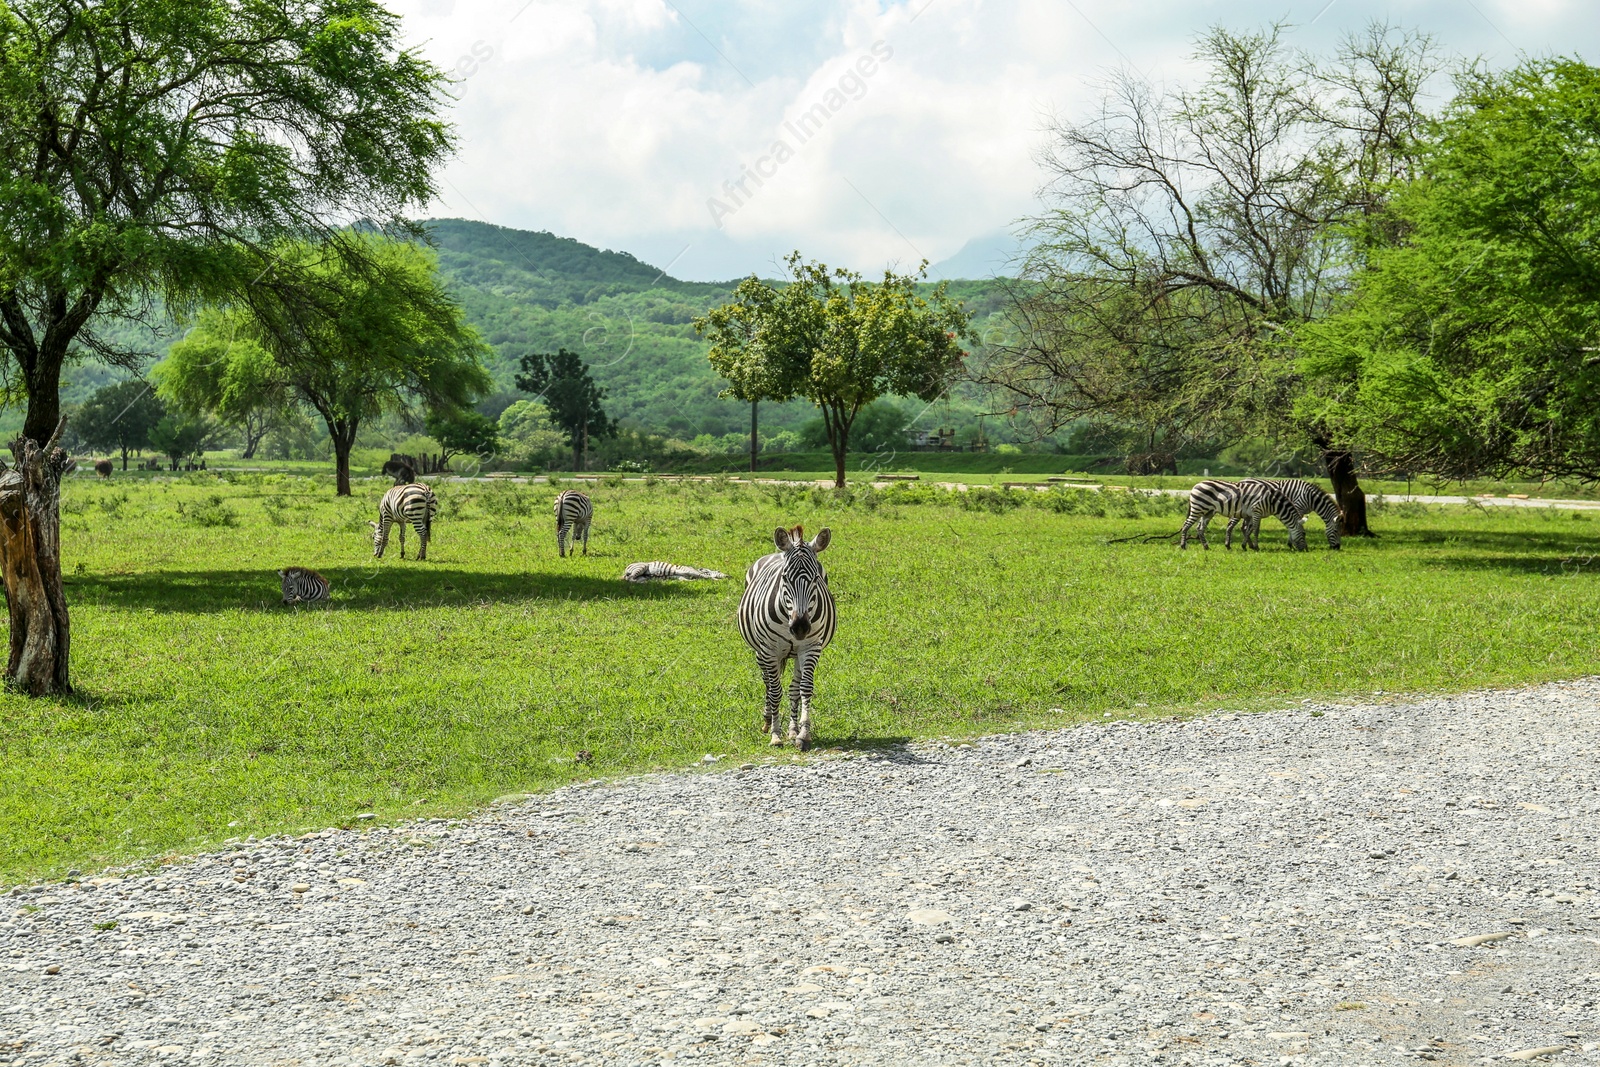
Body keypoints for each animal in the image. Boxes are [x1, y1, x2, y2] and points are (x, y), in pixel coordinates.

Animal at [736, 524, 838, 751]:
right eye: (785, 578)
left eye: (816, 578)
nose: (800, 628)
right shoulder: (769, 650)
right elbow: (775, 691)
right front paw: (775, 735)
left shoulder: (811, 647)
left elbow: (804, 689)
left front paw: (803, 734)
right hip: (760, 653)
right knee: (767, 683)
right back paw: (768, 721)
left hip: (797, 653)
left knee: (793, 689)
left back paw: (792, 730)